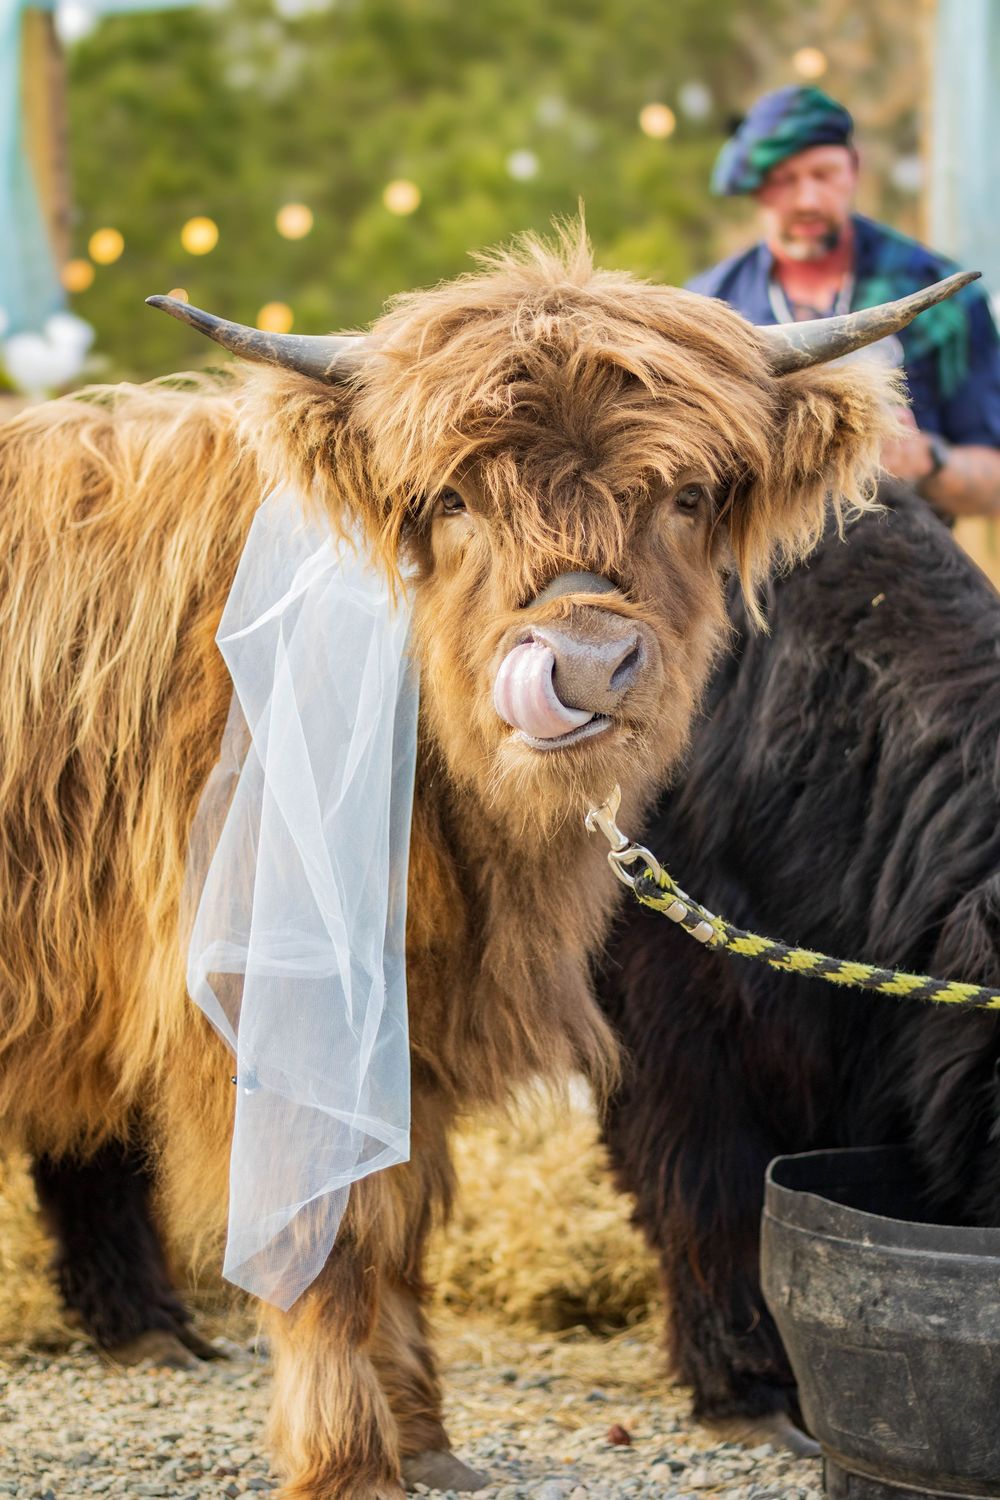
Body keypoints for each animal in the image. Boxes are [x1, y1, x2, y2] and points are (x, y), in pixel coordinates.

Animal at [0, 229, 959, 1498]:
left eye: (687, 495)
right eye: (452, 499)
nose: (585, 662)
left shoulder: (411, 1013)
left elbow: (398, 1216)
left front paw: (424, 1439)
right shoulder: (289, 992)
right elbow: (332, 1228)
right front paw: (349, 1459)